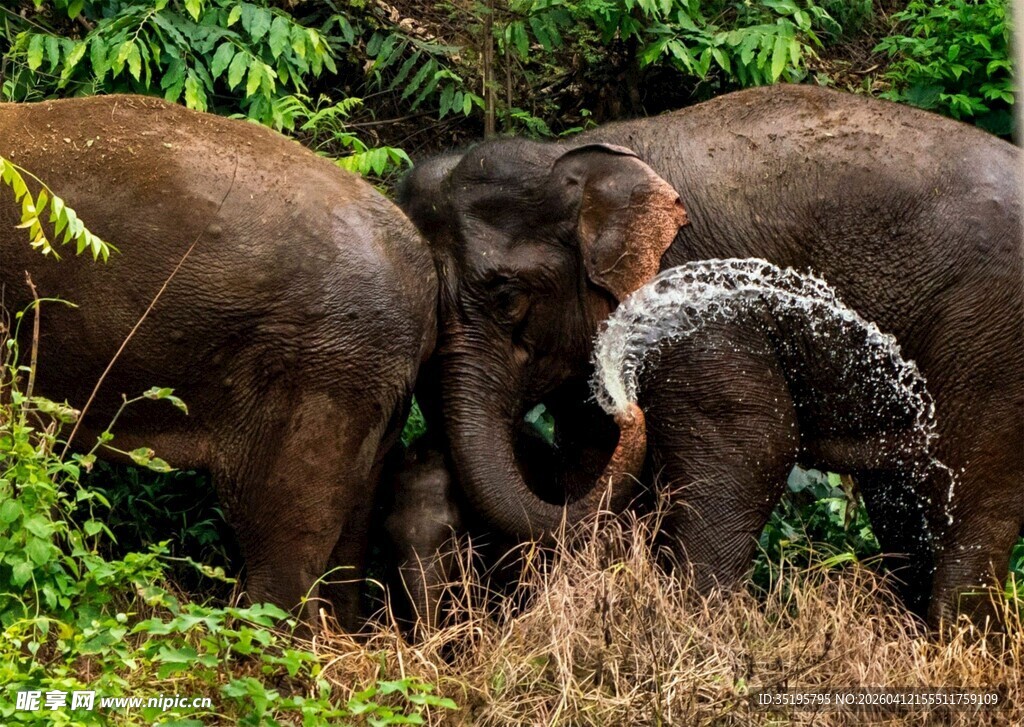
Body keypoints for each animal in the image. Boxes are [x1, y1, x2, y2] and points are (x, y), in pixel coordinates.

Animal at [398, 83, 1023, 628]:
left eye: (507, 298)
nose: (628, 404)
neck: (580, 154)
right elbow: (594, 455)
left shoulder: (694, 306)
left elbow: (751, 442)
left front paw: (699, 630)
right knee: (904, 498)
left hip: (992, 340)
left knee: (969, 498)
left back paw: (952, 643)